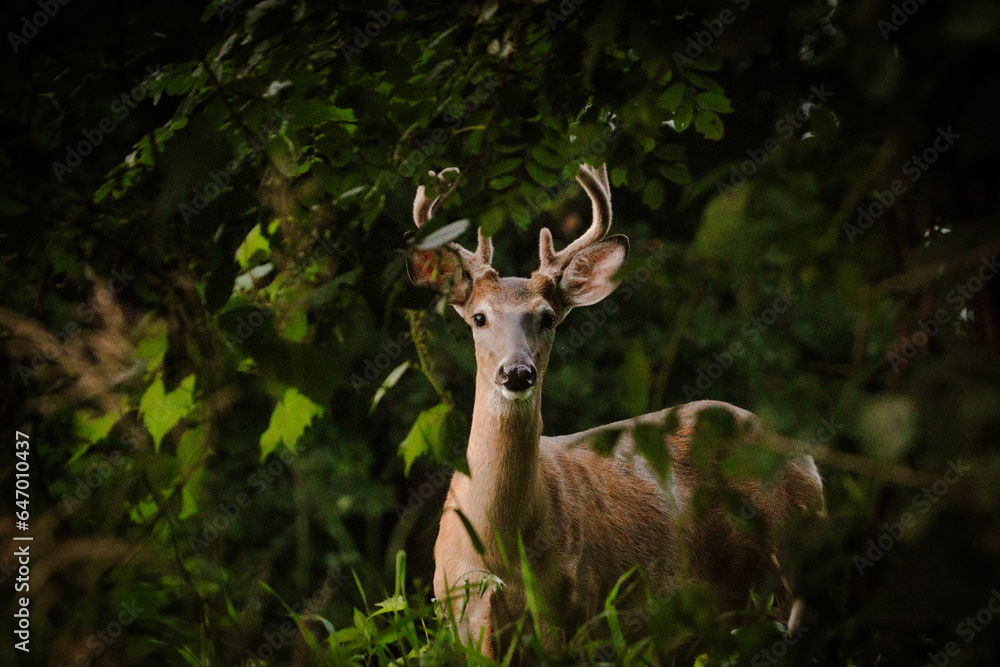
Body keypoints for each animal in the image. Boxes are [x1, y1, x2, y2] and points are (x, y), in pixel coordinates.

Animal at [405, 163, 825, 658]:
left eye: (547, 317)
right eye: (479, 317)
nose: (517, 372)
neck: (498, 549)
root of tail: (807, 460)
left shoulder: (573, 609)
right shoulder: (458, 616)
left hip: (784, 575)